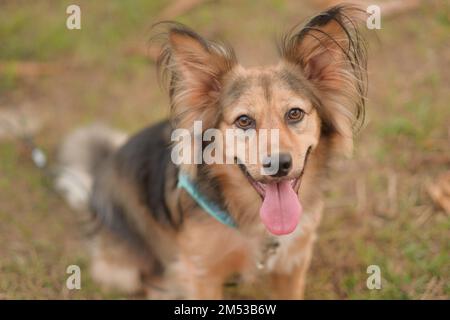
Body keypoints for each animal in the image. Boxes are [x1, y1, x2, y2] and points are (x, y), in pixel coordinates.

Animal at [56, 4, 368, 300]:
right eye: (244, 120)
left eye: (294, 114)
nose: (278, 164)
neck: (253, 220)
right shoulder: (201, 273)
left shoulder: (292, 262)